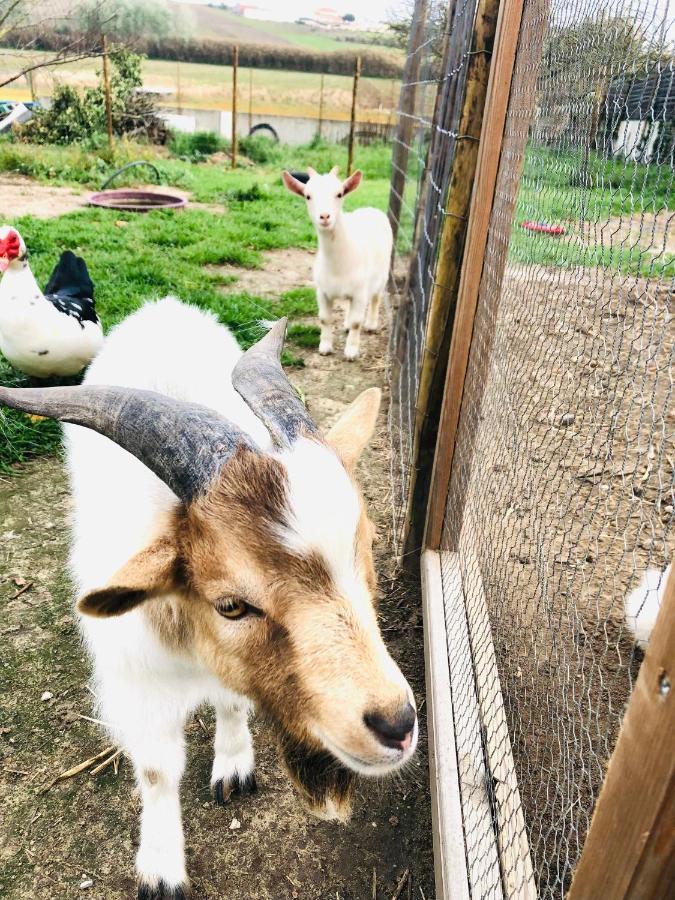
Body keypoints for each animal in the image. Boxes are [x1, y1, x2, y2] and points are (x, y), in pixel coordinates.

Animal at [0, 298, 418, 896]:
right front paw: (161, 869)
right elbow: (156, 769)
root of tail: (163, 307)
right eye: (231, 605)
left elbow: (232, 700)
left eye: (366, 549)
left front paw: (233, 766)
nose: (396, 724)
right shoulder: (137, 683)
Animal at [282, 167, 394, 360]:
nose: (325, 216)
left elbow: (357, 322)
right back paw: (347, 324)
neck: (339, 264)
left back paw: (371, 324)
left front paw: (351, 352)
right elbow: (325, 319)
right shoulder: (323, 292)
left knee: (376, 297)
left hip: (382, 275)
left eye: (339, 194)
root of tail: (371, 209)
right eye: (307, 196)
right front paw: (325, 347)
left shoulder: (360, 293)